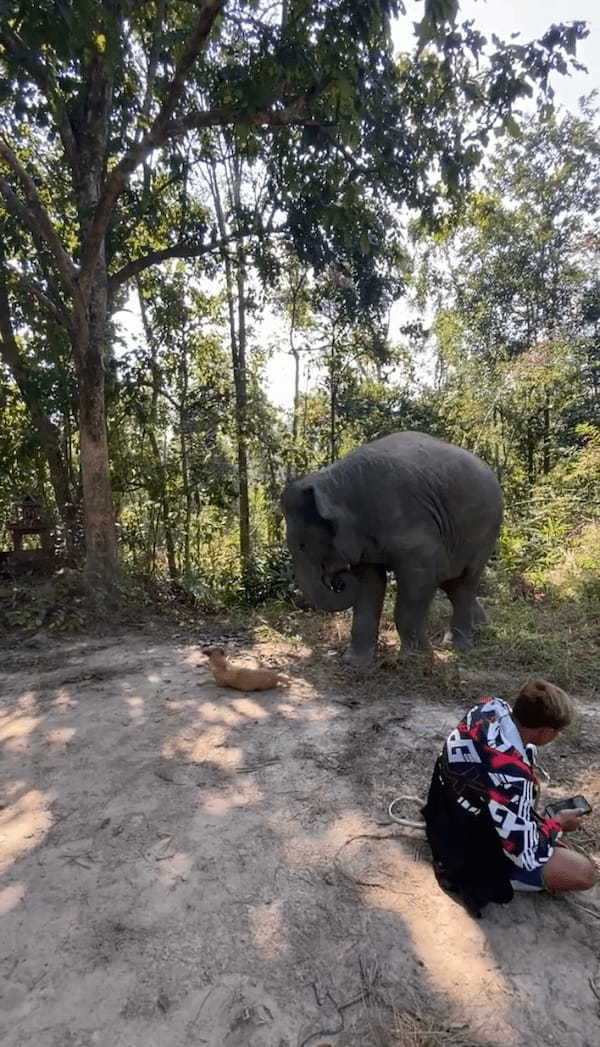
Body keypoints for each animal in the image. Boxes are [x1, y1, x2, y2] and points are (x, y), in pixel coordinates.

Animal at [280, 431, 500, 661]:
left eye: (302, 546)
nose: (339, 580)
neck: (334, 481)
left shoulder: (414, 526)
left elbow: (419, 580)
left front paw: (416, 660)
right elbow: (370, 584)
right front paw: (354, 662)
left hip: (485, 532)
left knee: (465, 581)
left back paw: (460, 646)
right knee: (452, 583)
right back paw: (475, 631)